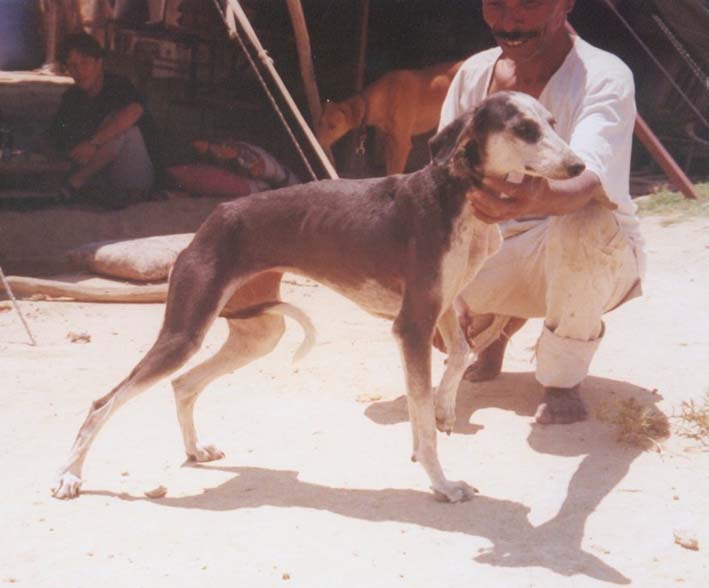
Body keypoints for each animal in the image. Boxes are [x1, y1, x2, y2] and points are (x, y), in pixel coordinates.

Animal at [51, 90, 588, 500]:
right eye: (524, 129)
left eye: (551, 123)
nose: (580, 166)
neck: (456, 195)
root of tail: (214, 218)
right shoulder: (411, 326)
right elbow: (423, 421)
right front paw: (442, 482)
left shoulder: (441, 308)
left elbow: (461, 354)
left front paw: (445, 409)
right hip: (184, 332)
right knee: (104, 402)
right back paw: (69, 476)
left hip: (259, 333)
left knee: (183, 384)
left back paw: (194, 450)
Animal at [316, 60, 462, 175]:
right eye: (320, 123)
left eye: (333, 126)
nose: (318, 143)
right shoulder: (389, 141)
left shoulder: (402, 144)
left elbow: (394, 173)